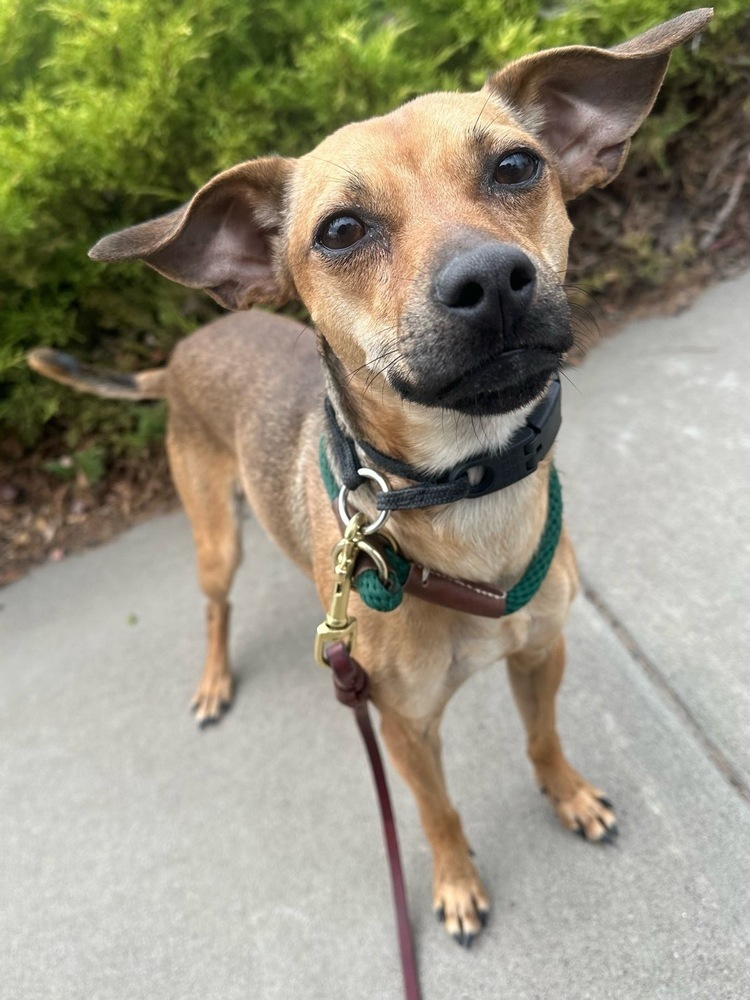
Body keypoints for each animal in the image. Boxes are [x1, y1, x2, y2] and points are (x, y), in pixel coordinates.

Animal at [27, 9, 712, 944]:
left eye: (516, 166)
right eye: (342, 230)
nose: (491, 278)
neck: (466, 499)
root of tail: (183, 350)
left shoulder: (543, 654)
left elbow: (543, 739)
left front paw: (566, 795)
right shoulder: (405, 730)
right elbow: (437, 813)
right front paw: (456, 884)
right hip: (216, 541)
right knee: (215, 607)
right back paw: (214, 678)